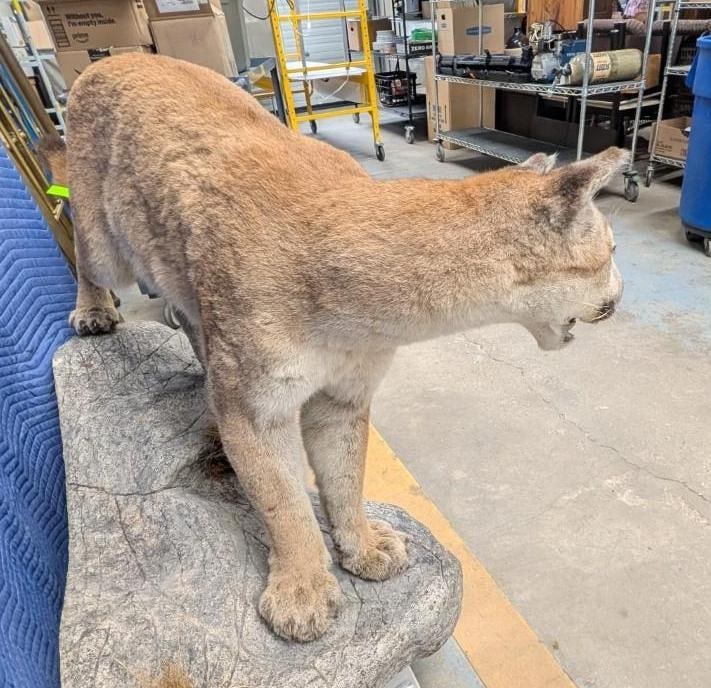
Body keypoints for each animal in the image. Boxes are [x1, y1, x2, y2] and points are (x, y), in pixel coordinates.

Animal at [40, 53, 624, 643]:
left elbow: (345, 476)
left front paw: (361, 544)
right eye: (614, 251)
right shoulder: (255, 412)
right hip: (106, 239)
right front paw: (302, 589)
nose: (622, 297)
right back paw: (93, 312)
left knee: (191, 315)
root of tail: (117, 57)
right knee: (84, 249)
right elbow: (283, 501)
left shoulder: (343, 398)